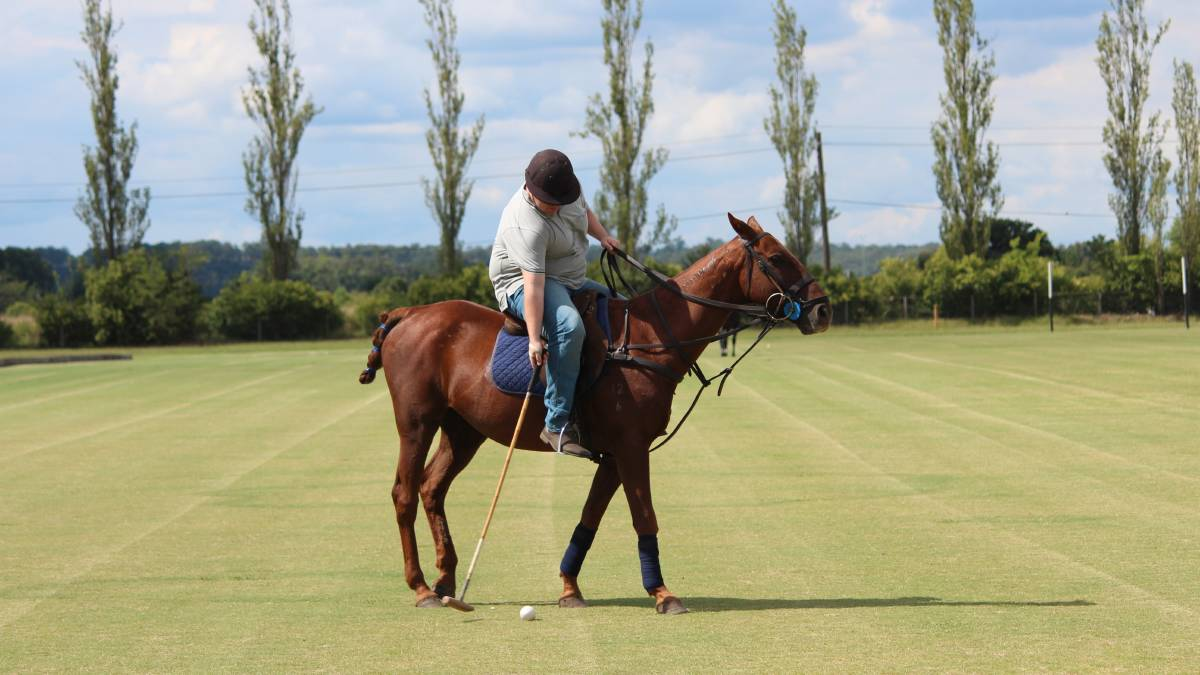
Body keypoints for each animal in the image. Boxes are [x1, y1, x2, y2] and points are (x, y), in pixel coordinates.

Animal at [355, 212, 825, 612]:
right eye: (777, 258)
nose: (823, 309)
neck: (653, 337)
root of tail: (406, 314)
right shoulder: (632, 446)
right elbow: (644, 517)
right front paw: (663, 593)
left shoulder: (615, 454)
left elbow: (589, 517)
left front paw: (569, 588)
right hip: (416, 422)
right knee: (403, 492)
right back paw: (420, 587)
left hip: (464, 428)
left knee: (432, 487)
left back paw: (447, 582)